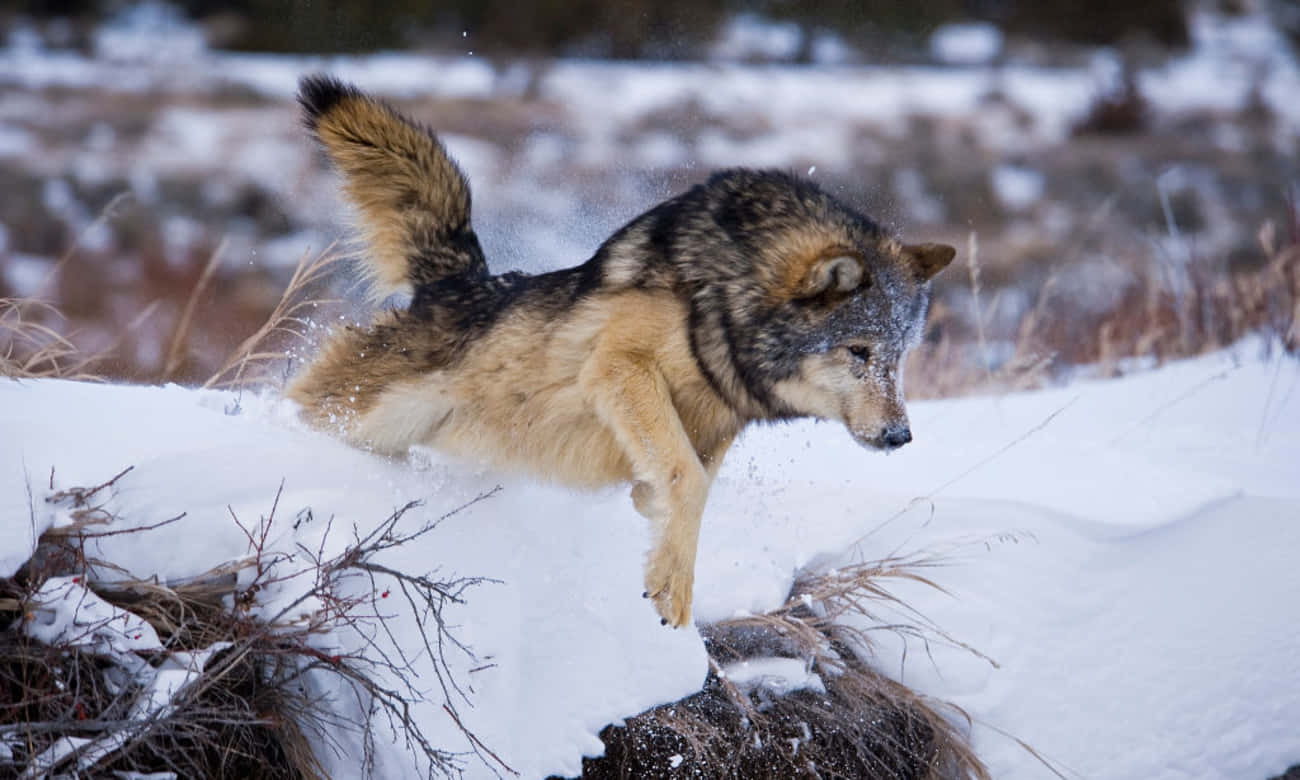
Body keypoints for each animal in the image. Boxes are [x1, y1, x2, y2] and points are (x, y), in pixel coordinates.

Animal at [287, 76, 956, 626]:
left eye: (898, 357)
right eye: (858, 351)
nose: (901, 436)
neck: (724, 296)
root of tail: (455, 283)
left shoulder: (719, 420)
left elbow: (684, 479)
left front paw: (653, 521)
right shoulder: (620, 369)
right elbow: (687, 478)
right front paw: (672, 588)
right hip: (367, 414)